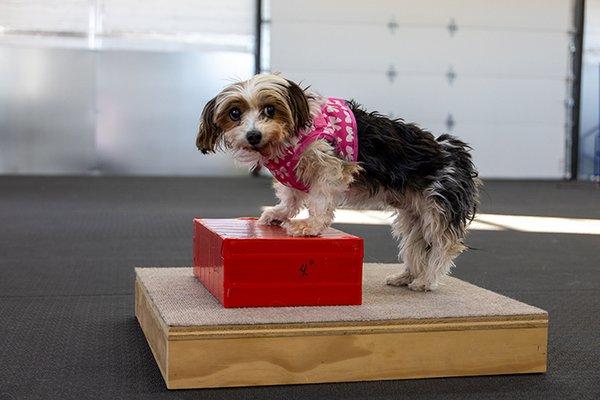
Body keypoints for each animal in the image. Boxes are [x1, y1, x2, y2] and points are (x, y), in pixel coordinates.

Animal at [198, 72, 482, 290]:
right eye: (235, 113)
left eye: (270, 109)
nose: (253, 135)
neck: (288, 139)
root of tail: (453, 151)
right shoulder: (294, 176)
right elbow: (290, 199)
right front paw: (278, 214)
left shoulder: (330, 167)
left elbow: (320, 202)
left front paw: (310, 226)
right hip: (414, 215)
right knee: (417, 245)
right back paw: (407, 275)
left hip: (437, 207)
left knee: (443, 246)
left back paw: (426, 281)